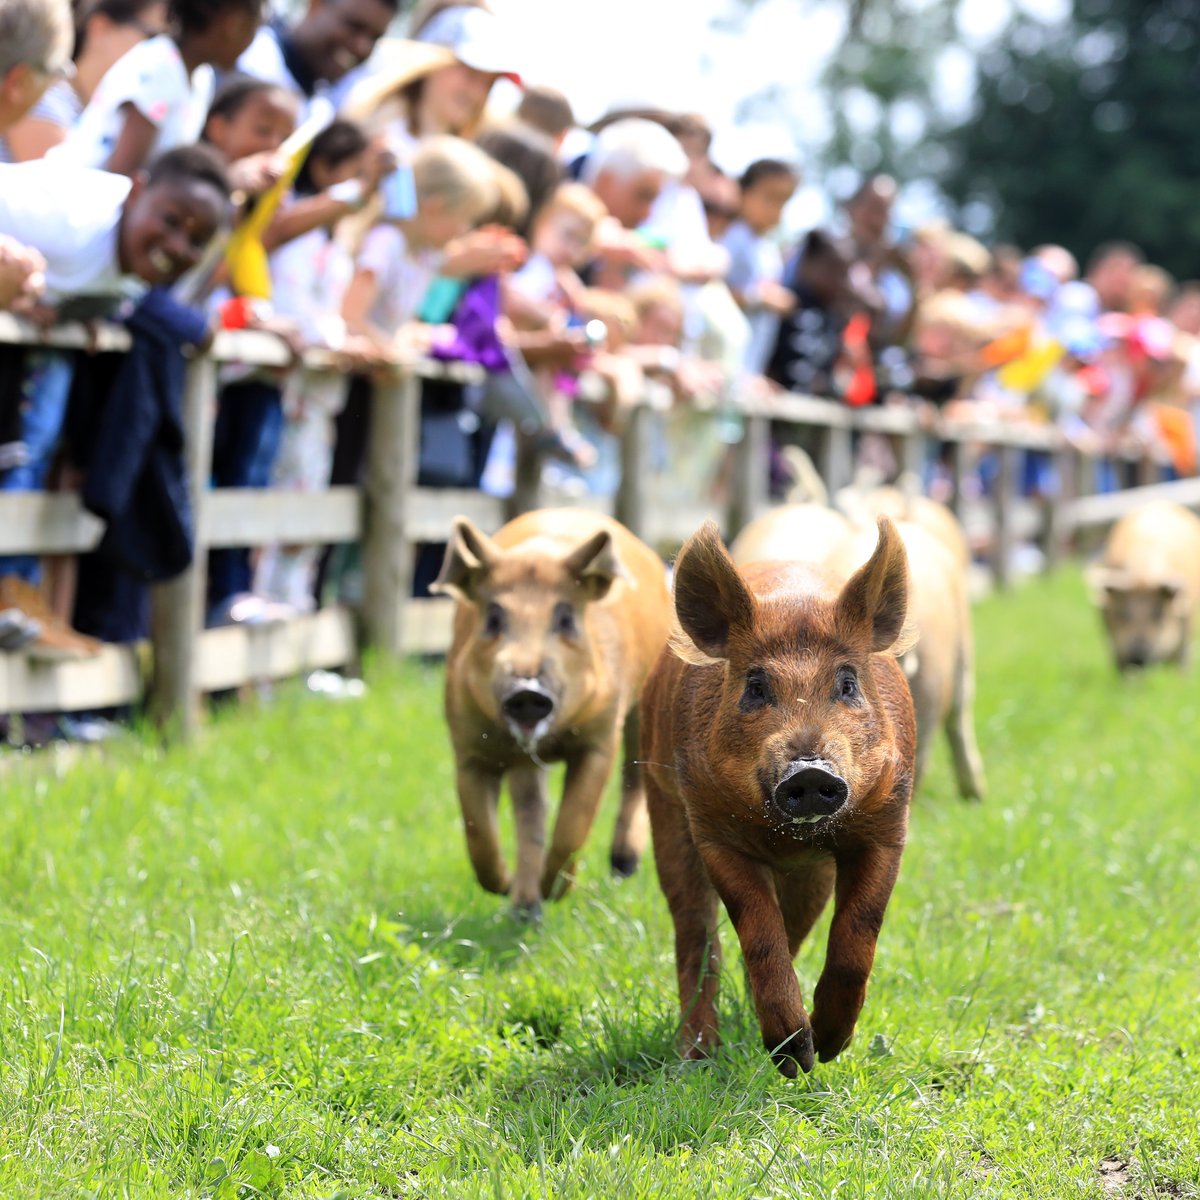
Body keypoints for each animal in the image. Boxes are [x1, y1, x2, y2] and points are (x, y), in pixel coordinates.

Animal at [432, 506, 676, 916]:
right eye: (493, 618)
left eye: (565, 619)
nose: (527, 691)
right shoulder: (468, 743)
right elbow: (479, 832)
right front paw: (503, 887)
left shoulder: (600, 737)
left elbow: (574, 823)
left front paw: (556, 893)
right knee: (531, 810)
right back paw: (524, 908)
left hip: (644, 703)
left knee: (635, 777)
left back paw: (621, 867)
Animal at [643, 516, 912, 1080]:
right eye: (756, 686)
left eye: (848, 683)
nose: (808, 772)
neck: (789, 839)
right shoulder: (712, 831)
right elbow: (758, 932)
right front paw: (794, 1062)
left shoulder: (887, 825)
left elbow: (859, 932)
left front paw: (826, 1050)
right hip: (664, 811)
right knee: (696, 935)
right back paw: (695, 1057)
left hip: (813, 877)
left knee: (795, 929)